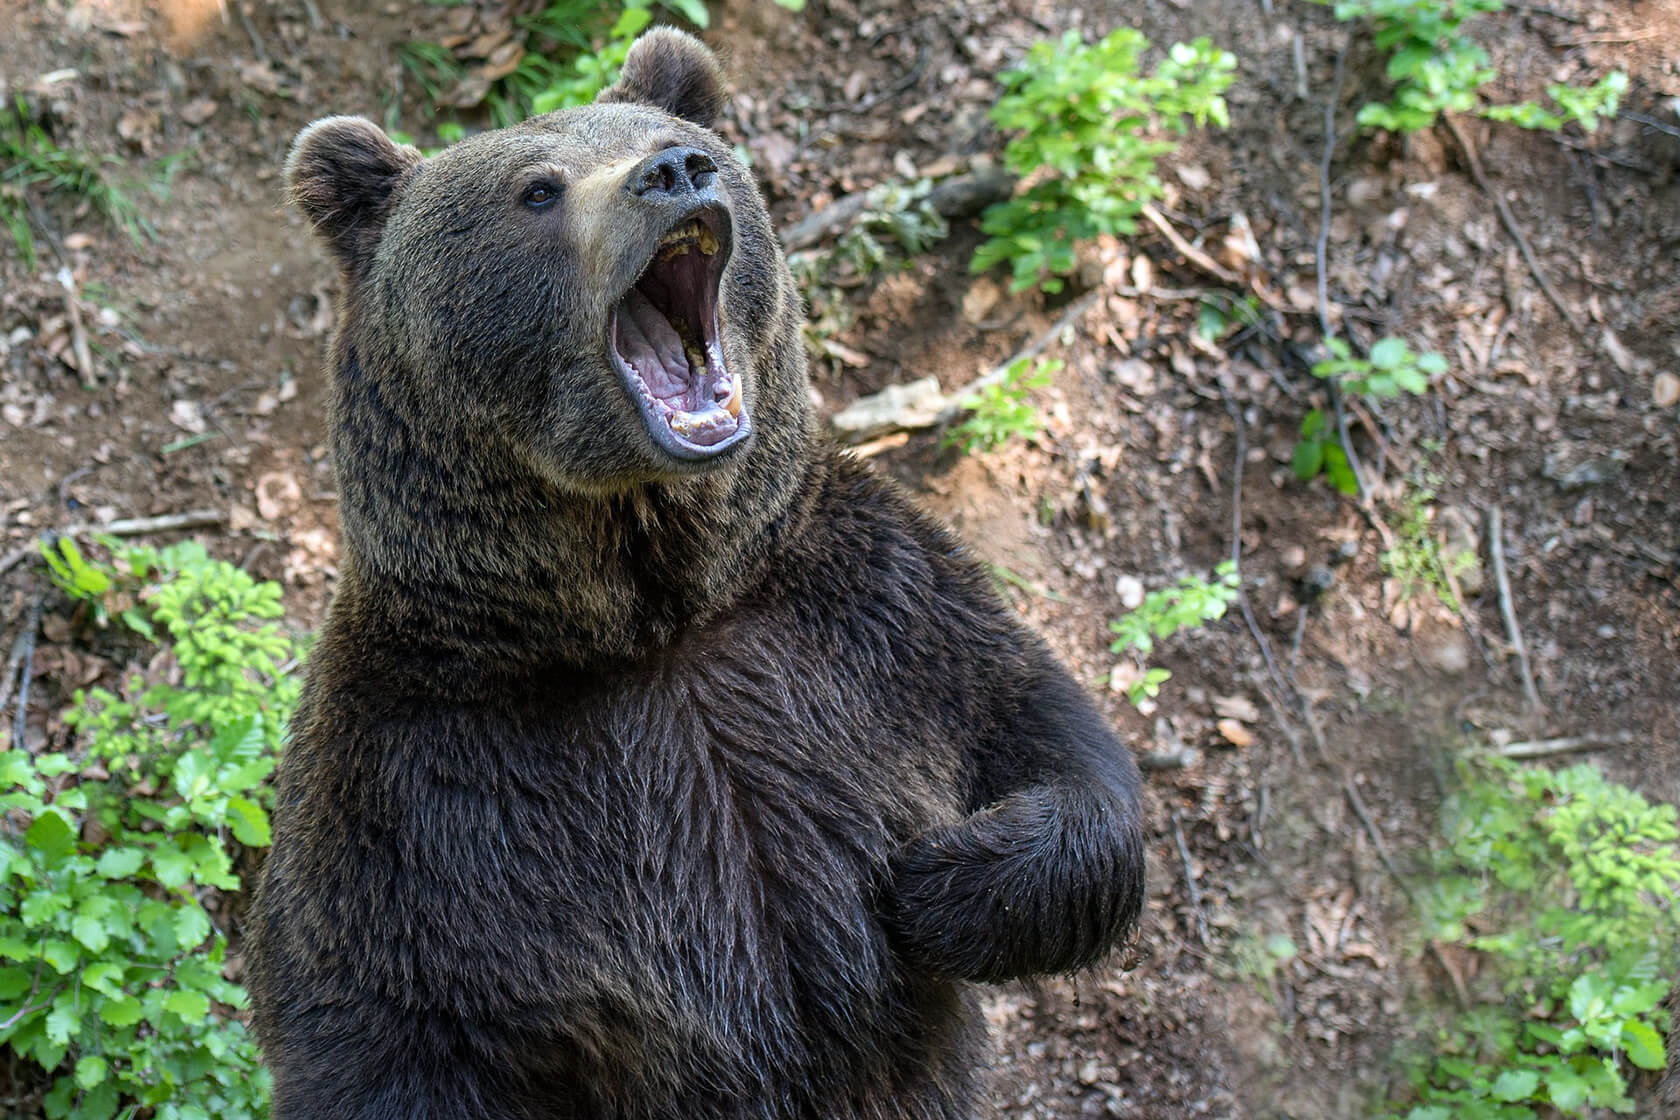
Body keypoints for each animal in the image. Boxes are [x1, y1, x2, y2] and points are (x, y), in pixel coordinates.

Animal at [245, 28, 1142, 1120]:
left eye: (680, 141)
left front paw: (938, 881)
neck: (656, 612)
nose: (674, 172)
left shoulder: (871, 614)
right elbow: (377, 1033)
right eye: (536, 189)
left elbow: (1052, 740)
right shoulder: (419, 793)